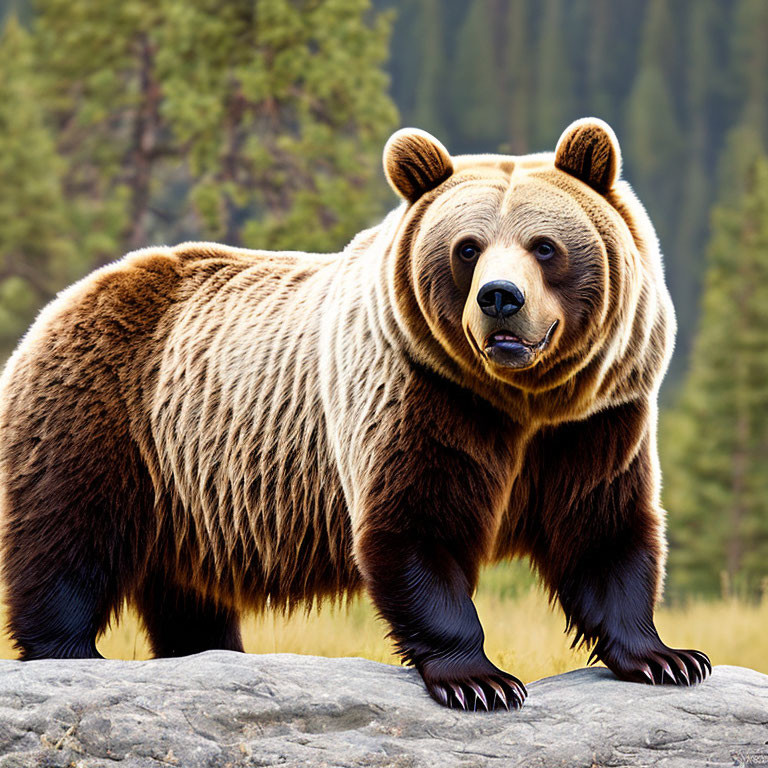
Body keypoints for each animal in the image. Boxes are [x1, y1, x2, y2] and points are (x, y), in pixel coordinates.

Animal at [0, 117, 708, 712]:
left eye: (544, 246)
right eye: (467, 248)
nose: (500, 298)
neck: (519, 399)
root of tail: (67, 298)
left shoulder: (595, 421)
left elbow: (602, 528)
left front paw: (667, 658)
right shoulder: (420, 398)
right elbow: (416, 528)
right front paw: (481, 680)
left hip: (188, 490)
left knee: (185, 586)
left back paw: (210, 647)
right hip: (105, 413)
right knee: (67, 532)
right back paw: (71, 649)